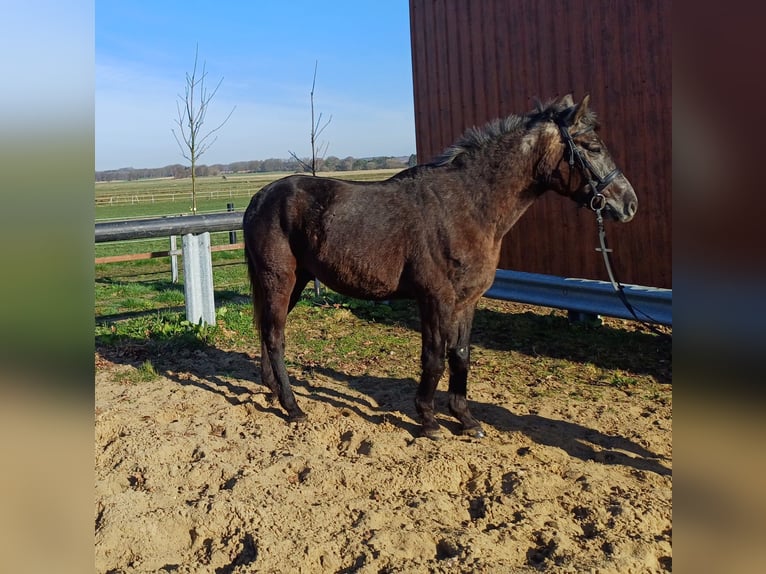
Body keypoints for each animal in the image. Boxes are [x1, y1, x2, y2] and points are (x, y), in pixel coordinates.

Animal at [243, 94, 637, 439]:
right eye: (592, 146)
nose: (629, 203)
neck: (467, 206)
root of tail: (261, 198)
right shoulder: (436, 299)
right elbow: (433, 357)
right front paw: (429, 419)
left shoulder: (467, 301)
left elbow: (460, 356)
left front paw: (466, 419)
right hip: (279, 279)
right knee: (275, 337)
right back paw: (292, 406)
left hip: (294, 282)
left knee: (267, 332)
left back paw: (272, 390)